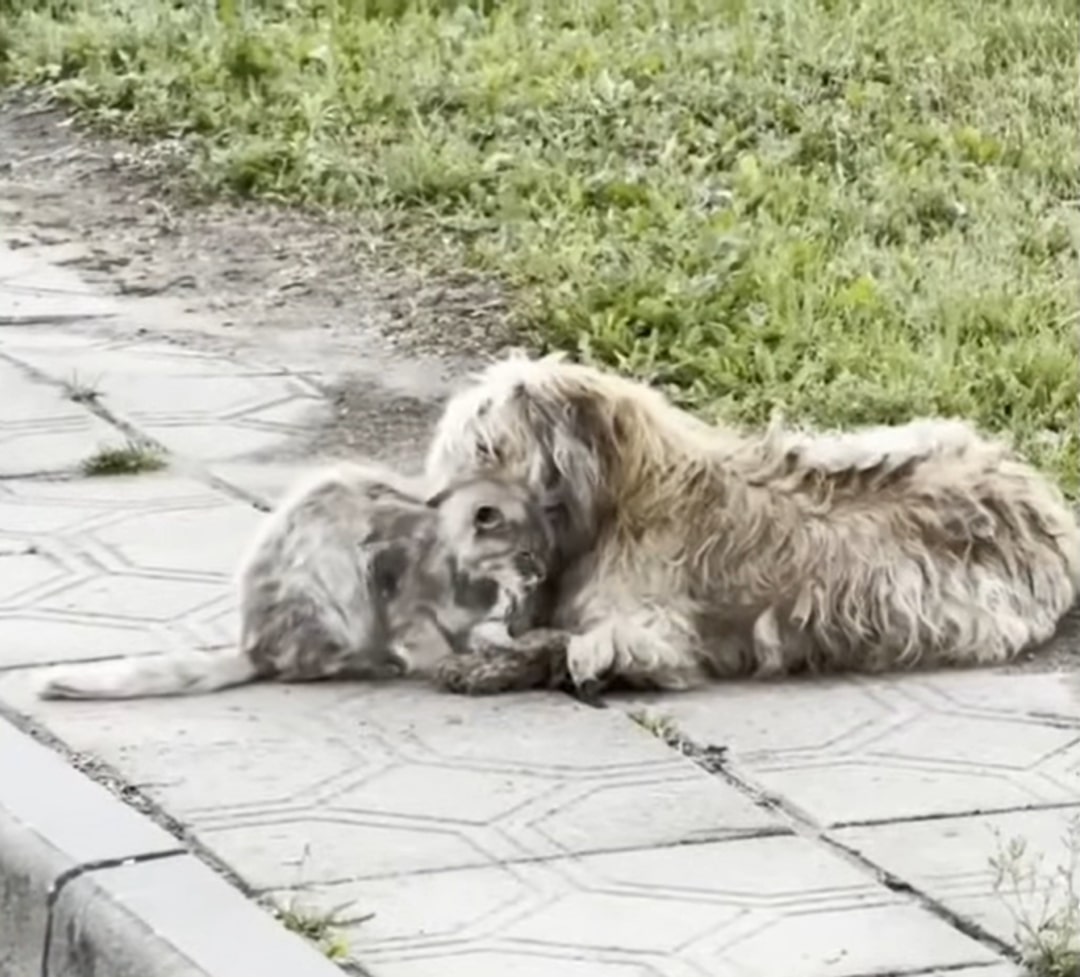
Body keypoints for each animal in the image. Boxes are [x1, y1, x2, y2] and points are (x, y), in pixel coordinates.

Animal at [35, 462, 557, 699]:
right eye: (525, 553)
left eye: (544, 551)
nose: (542, 572)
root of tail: (253, 647)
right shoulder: (397, 589)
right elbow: (431, 640)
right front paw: (451, 664)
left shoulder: (457, 618)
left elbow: (463, 637)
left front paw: (478, 658)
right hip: (329, 606)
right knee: (310, 667)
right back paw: (378, 663)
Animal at [421, 351, 1080, 695]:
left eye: (485, 446)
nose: (434, 506)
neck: (619, 495)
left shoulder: (648, 630)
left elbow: (575, 645)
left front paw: (492, 662)